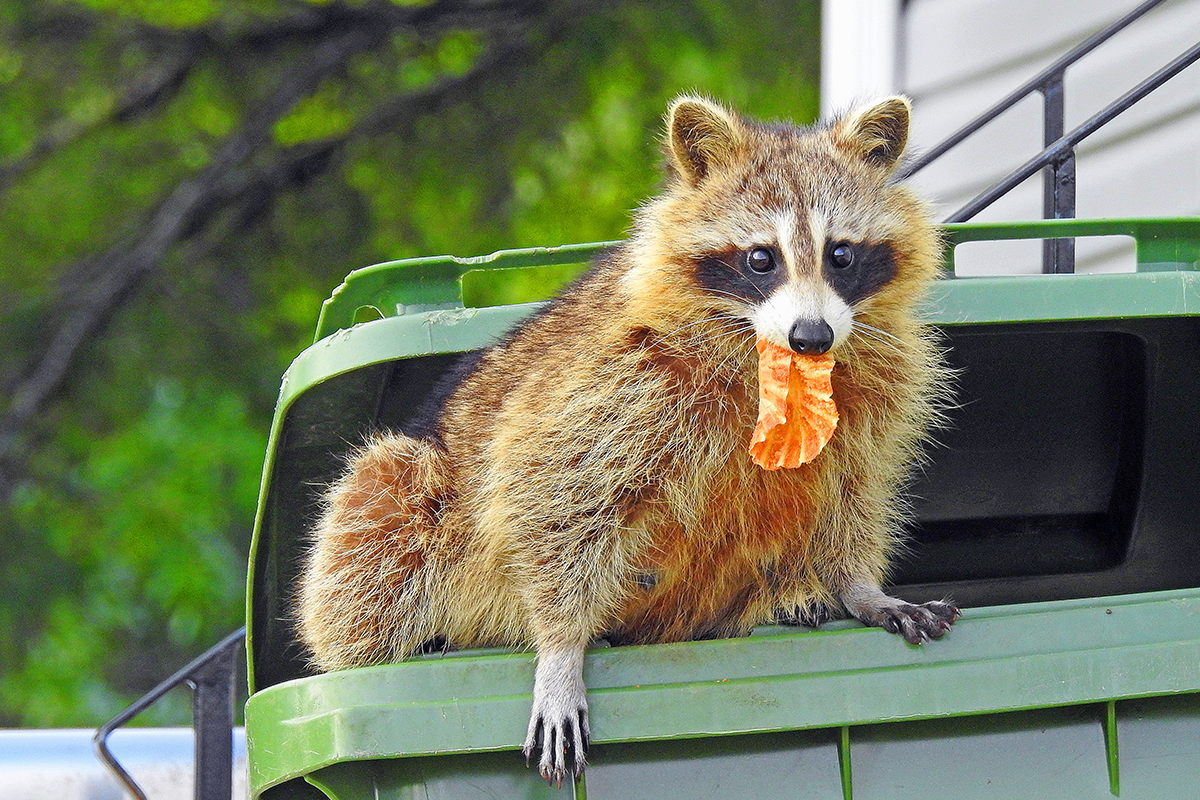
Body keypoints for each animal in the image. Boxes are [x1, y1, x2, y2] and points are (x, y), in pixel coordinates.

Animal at [295, 94, 960, 782]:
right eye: (761, 258)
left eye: (841, 254)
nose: (812, 336)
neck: (774, 358)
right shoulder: (615, 377)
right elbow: (547, 489)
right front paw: (560, 647)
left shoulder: (873, 390)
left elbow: (851, 488)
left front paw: (858, 584)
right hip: (413, 492)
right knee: (379, 511)